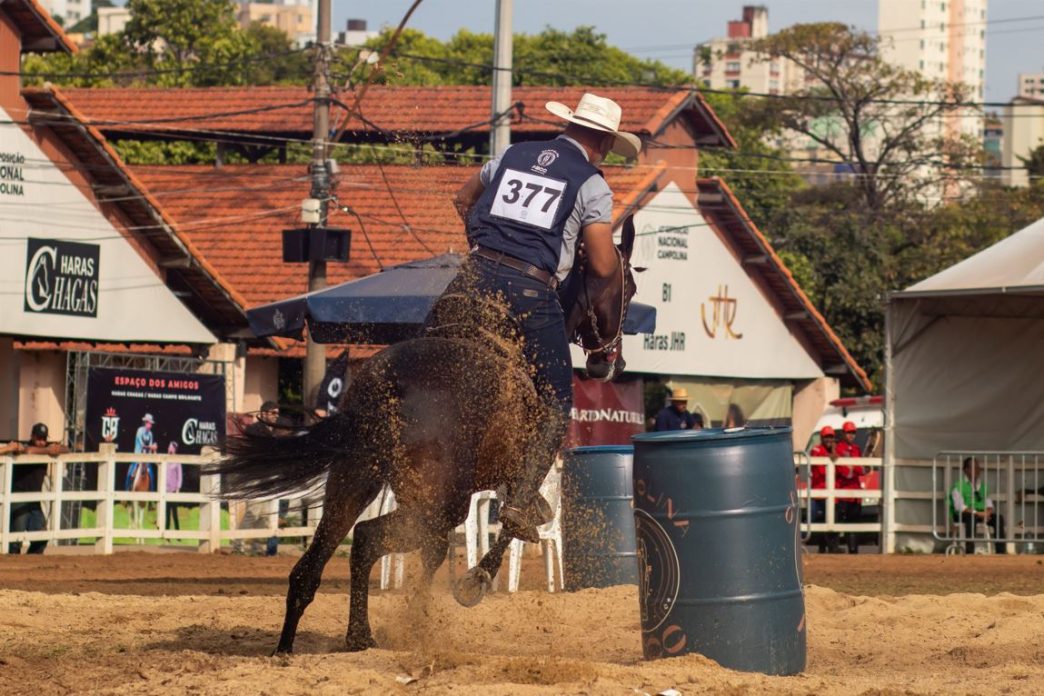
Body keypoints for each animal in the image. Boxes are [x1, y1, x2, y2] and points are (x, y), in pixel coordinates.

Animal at [211, 217, 638, 655]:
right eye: (630, 288)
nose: (612, 362)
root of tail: (388, 385)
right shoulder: (501, 482)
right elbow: (513, 521)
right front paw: (473, 581)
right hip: (438, 502)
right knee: (373, 537)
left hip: (355, 480)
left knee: (320, 558)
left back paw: (304, 644)